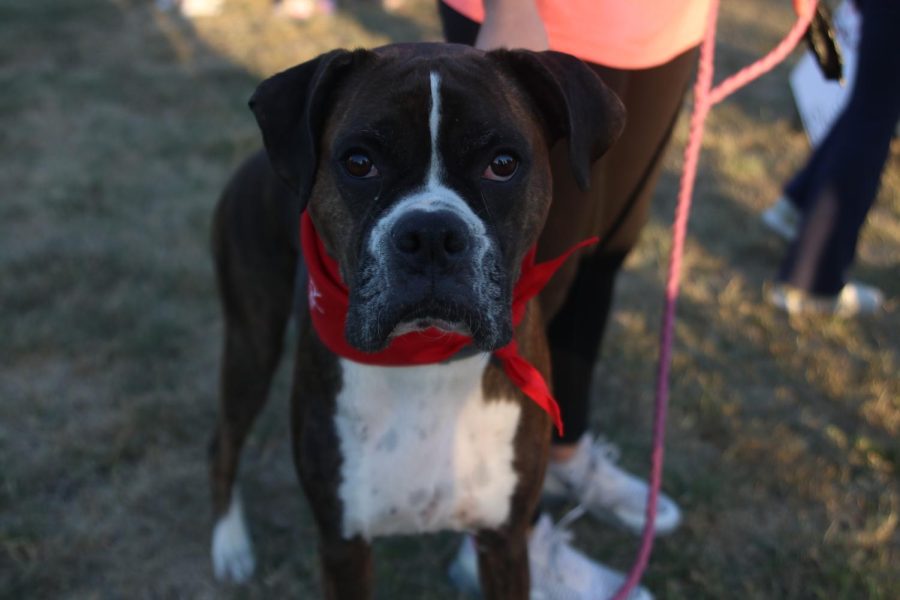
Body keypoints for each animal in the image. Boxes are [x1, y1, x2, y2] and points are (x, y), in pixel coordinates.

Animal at [207, 43, 624, 600]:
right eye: (359, 162)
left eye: (502, 164)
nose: (430, 234)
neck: (427, 359)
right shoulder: (342, 546)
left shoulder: (506, 541)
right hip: (251, 343)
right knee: (224, 440)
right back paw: (229, 544)